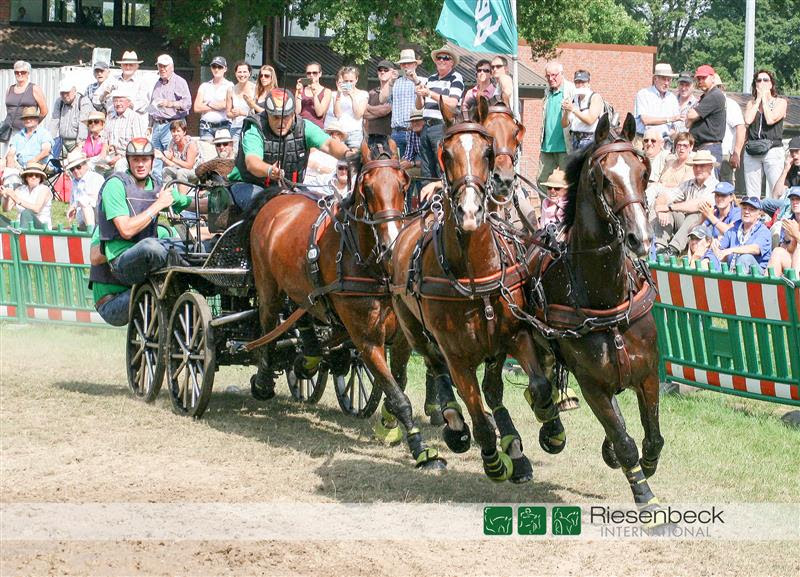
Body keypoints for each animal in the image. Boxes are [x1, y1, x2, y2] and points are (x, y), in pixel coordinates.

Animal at [250, 137, 446, 470]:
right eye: (367, 188)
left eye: (403, 184)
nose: (391, 243)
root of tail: (280, 197)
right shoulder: (367, 340)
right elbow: (399, 395)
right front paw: (421, 449)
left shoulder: (402, 338)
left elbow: (398, 381)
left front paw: (391, 427)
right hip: (268, 287)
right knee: (267, 327)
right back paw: (263, 381)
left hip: (302, 290)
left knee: (304, 316)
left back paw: (308, 358)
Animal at [390, 100, 556, 482]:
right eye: (446, 153)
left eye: (487, 150)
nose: (469, 211)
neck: (476, 273)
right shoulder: (458, 356)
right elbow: (479, 417)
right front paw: (494, 460)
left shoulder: (512, 337)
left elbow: (535, 386)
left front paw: (546, 430)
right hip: (413, 328)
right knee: (436, 369)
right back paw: (453, 423)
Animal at [528, 112, 664, 508]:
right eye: (603, 177)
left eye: (644, 172)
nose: (640, 238)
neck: (606, 298)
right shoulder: (592, 385)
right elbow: (625, 440)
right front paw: (644, 495)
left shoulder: (648, 373)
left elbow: (652, 437)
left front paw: (639, 464)